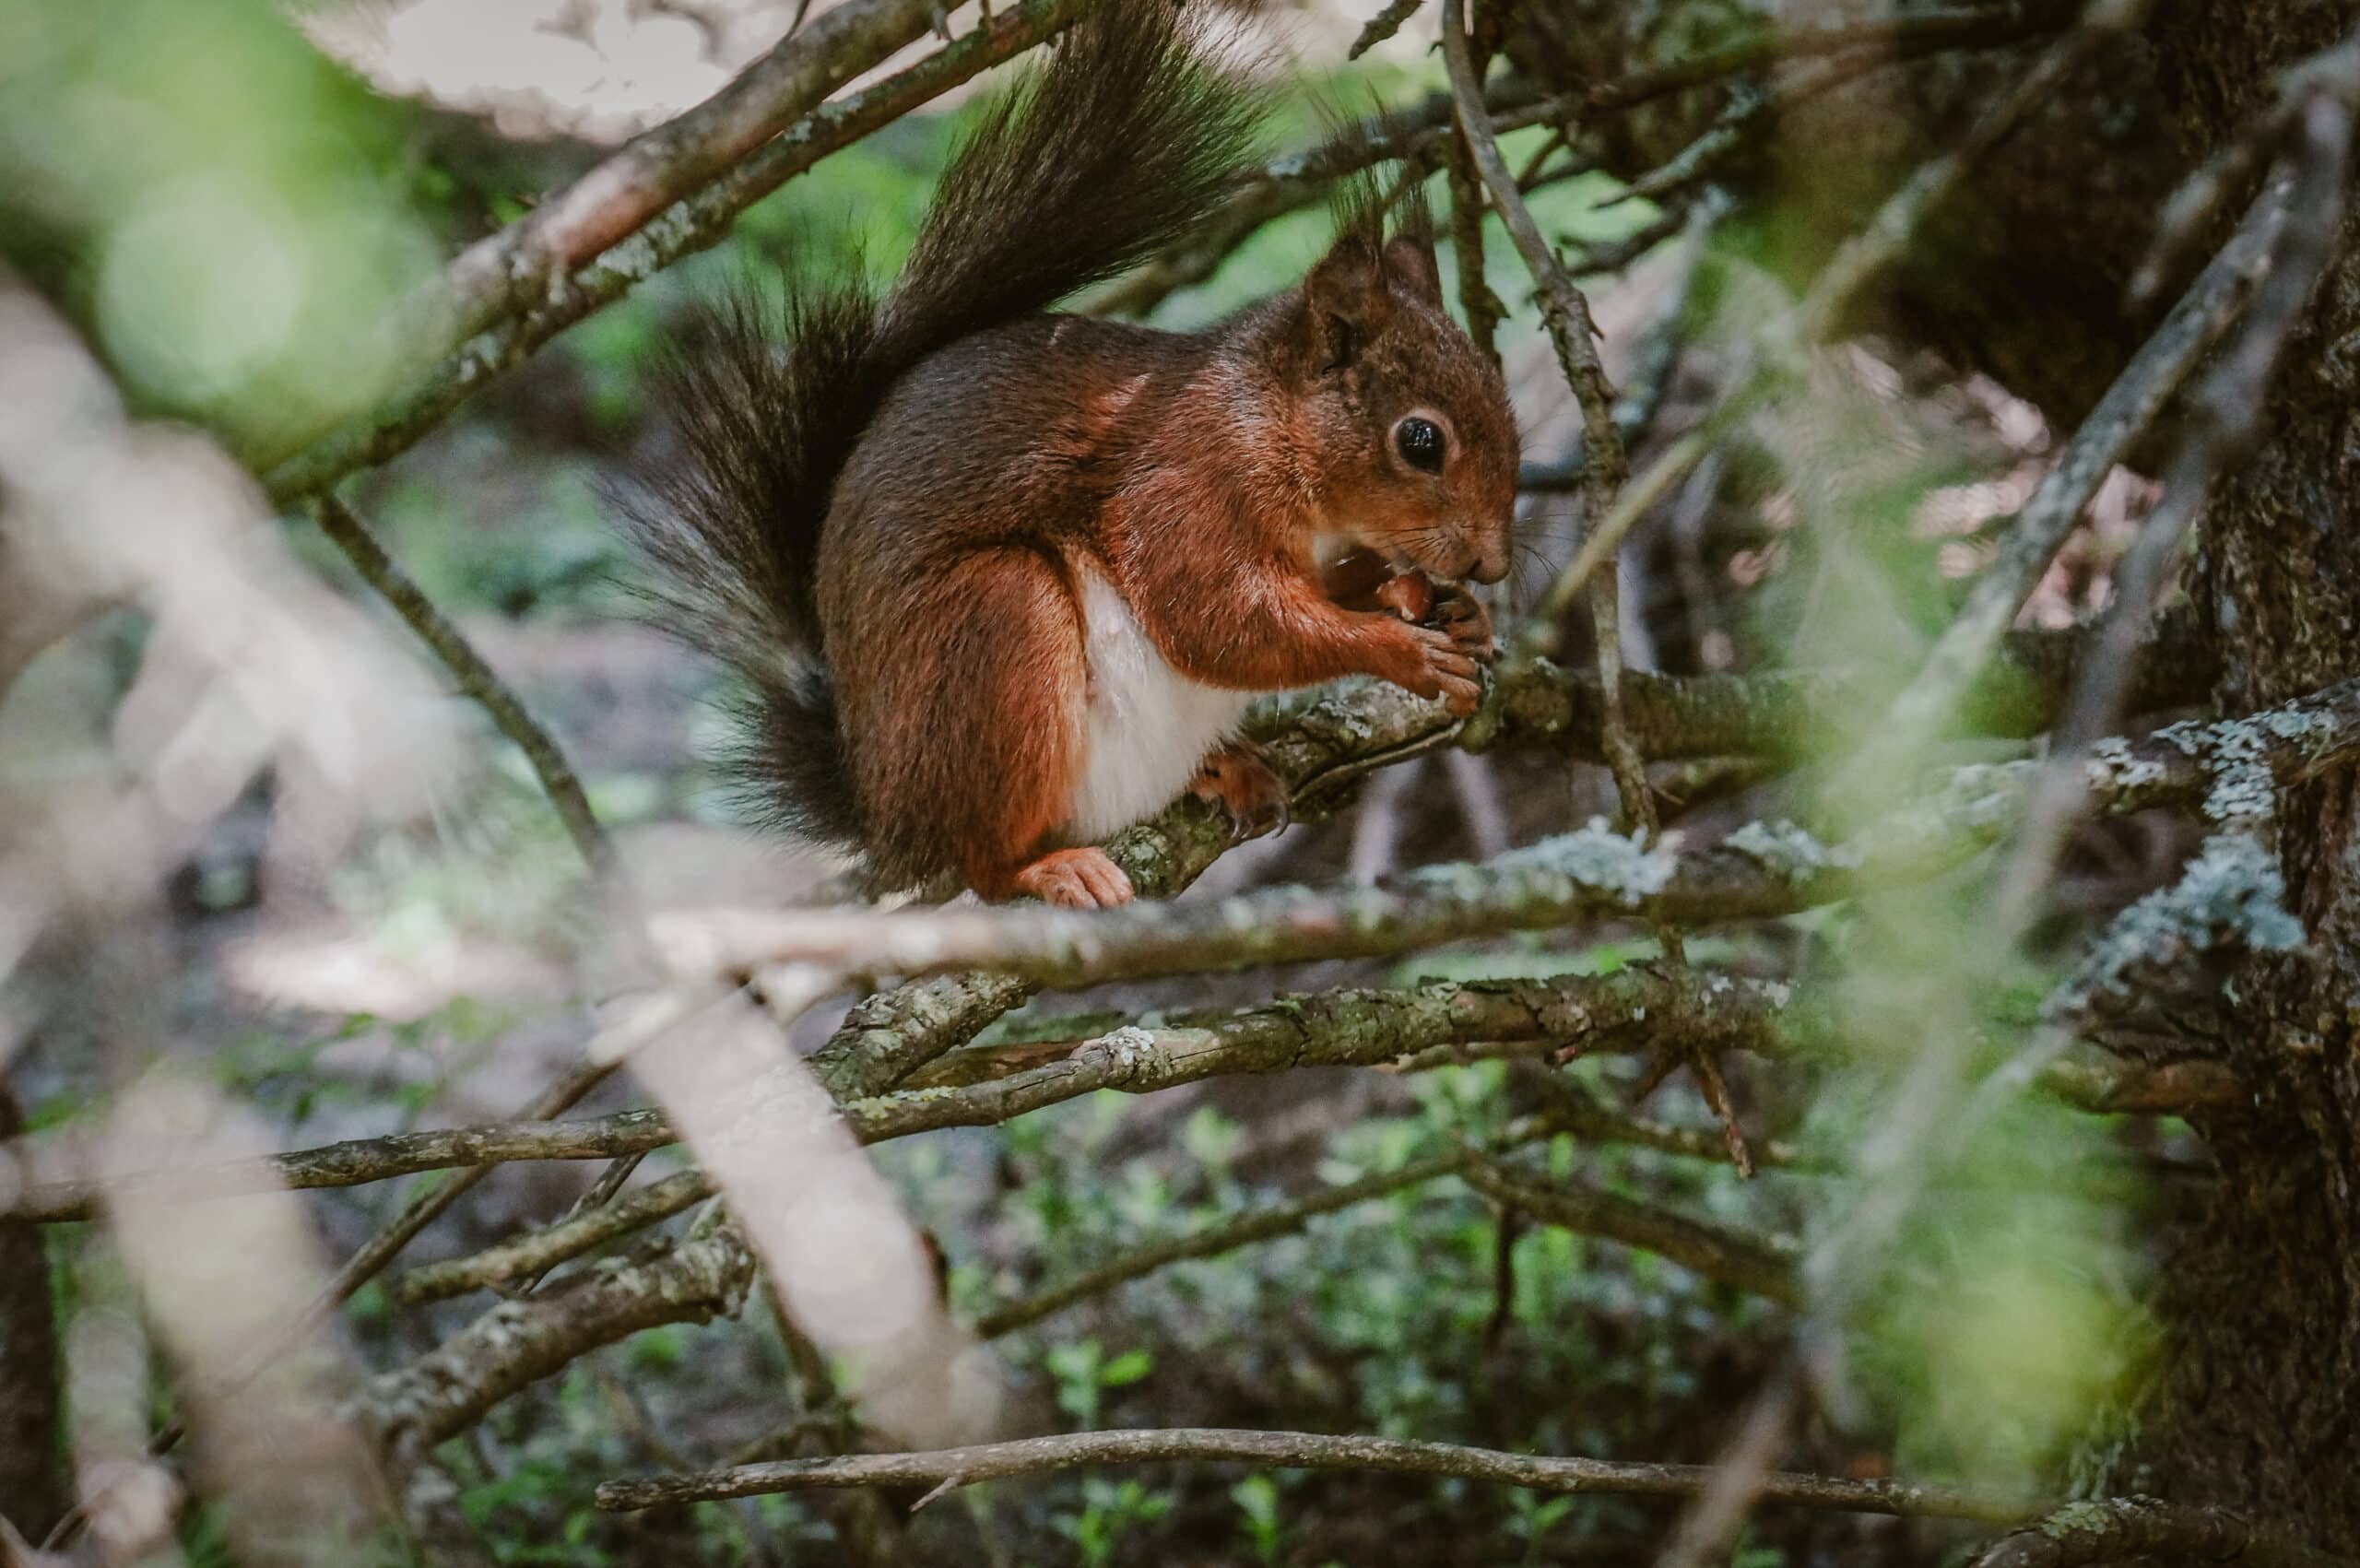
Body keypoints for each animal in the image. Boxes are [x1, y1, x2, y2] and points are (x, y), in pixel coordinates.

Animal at [627, 3, 1510, 906]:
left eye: (1500, 385)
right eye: (1420, 440)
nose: (1494, 564)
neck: (1273, 427)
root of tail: (886, 817)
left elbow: (1317, 594)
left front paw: (1434, 603)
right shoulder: (1185, 481)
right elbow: (1216, 618)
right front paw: (1403, 649)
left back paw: (1227, 770)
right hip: (998, 625)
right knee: (982, 858)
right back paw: (1045, 864)